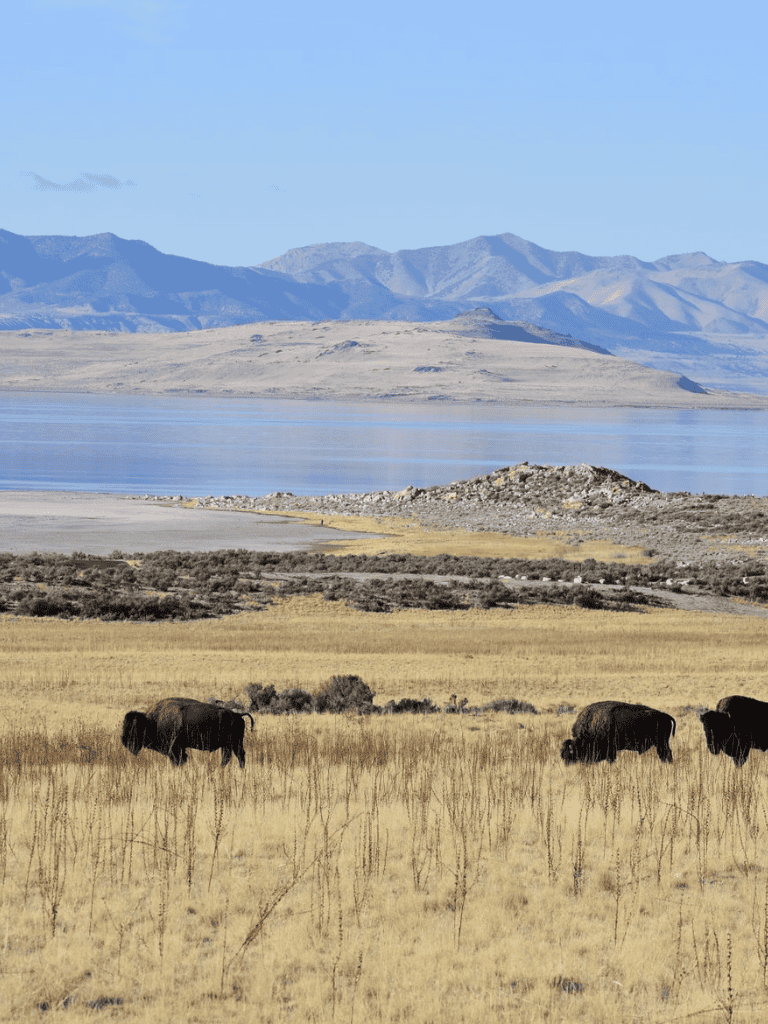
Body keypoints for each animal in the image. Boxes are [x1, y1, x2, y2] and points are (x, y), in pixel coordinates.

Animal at [121, 697, 255, 767]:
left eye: (133, 728)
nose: (124, 741)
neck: (152, 721)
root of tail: (237, 715)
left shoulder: (174, 748)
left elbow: (178, 760)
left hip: (233, 743)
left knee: (237, 755)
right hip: (229, 744)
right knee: (231, 756)